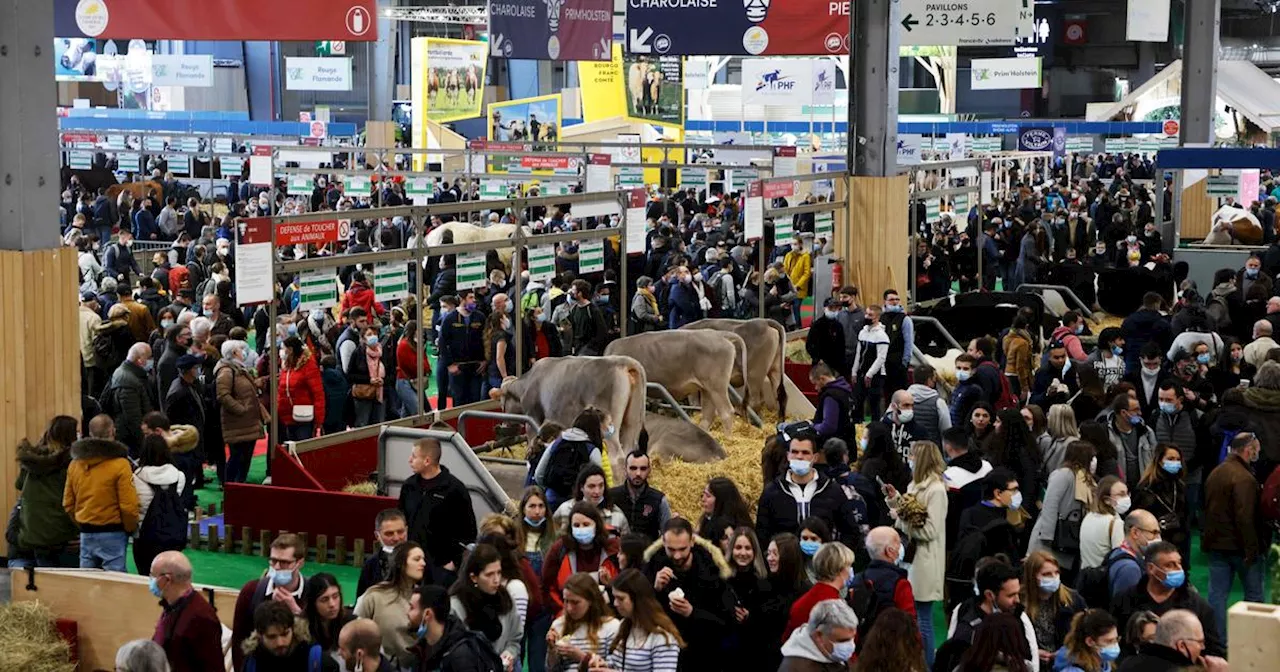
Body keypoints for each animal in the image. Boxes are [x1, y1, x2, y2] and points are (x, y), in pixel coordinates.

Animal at [606, 327, 747, 432]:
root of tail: (719, 334)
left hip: (716, 386)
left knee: (726, 412)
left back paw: (728, 439)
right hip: (707, 388)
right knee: (708, 415)